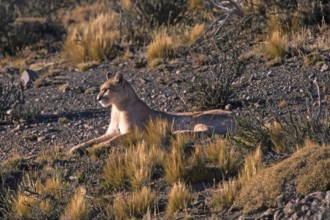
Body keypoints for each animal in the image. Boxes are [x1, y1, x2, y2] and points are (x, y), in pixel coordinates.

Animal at [69, 71, 235, 154]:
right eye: (99, 89)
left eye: (106, 89)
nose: (98, 98)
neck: (117, 108)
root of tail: (235, 115)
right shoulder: (111, 132)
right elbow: (93, 139)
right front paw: (77, 148)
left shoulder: (132, 133)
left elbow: (111, 140)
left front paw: (95, 149)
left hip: (198, 120)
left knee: (206, 132)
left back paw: (176, 133)